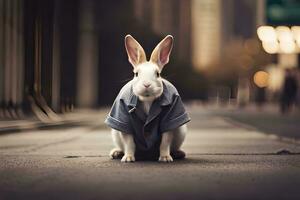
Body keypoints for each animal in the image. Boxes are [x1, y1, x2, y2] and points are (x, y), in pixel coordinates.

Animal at [105, 34, 190, 162]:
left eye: (158, 74)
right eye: (136, 74)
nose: (146, 84)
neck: (147, 99)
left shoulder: (170, 117)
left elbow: (165, 141)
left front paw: (165, 158)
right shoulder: (123, 118)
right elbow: (129, 142)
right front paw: (128, 158)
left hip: (181, 131)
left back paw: (178, 153)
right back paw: (116, 153)